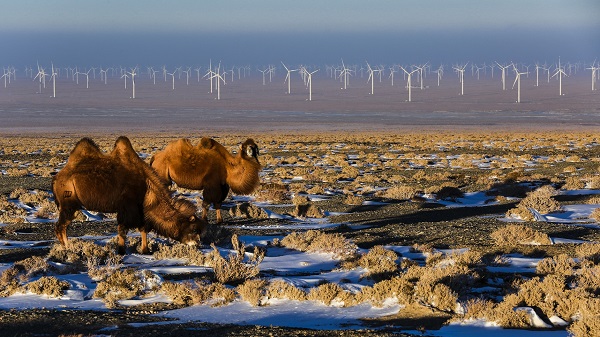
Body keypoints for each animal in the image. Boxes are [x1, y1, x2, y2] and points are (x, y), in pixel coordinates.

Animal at [52, 135, 206, 253]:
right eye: (193, 229)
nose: (197, 244)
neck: (148, 187)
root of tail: (57, 178)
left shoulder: (141, 209)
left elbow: (143, 229)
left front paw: (145, 250)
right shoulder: (127, 208)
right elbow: (122, 229)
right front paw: (121, 251)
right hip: (69, 202)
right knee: (61, 226)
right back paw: (68, 248)